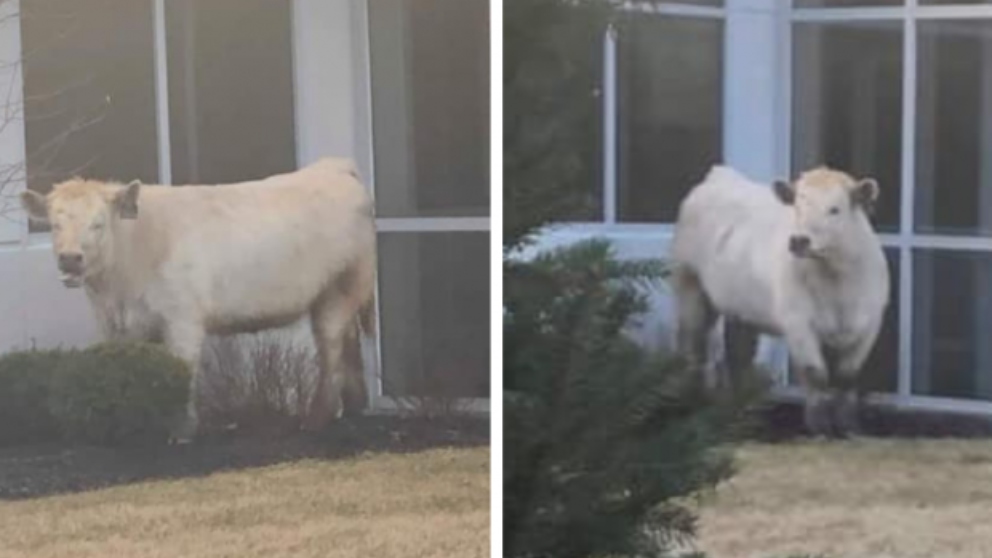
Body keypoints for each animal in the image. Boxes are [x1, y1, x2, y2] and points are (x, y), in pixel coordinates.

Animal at [20, 157, 377, 442]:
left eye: (98, 224)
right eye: (54, 225)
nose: (70, 259)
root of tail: (333, 166)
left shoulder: (182, 320)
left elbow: (183, 370)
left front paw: (183, 431)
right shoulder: (114, 326)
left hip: (339, 289)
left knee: (330, 348)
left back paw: (316, 419)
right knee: (347, 342)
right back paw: (355, 405)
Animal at [671, 165, 889, 437]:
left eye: (835, 209)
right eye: (797, 206)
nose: (799, 240)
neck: (838, 284)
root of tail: (720, 175)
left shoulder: (870, 323)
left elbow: (848, 376)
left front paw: (849, 426)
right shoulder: (797, 322)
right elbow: (815, 373)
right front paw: (820, 426)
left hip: (740, 309)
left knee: (738, 354)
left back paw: (738, 409)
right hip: (689, 286)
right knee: (692, 348)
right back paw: (690, 401)